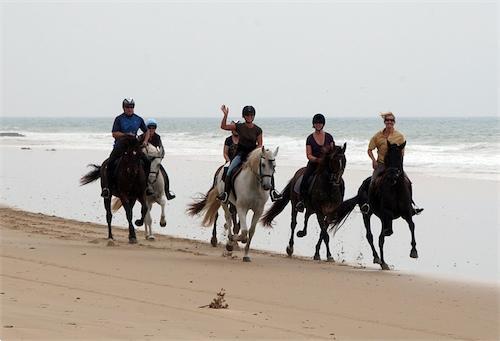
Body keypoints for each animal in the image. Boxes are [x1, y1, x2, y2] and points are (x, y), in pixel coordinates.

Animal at [328, 139, 418, 270]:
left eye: (399, 157)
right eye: (387, 156)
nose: (392, 176)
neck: (396, 188)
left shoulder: (406, 213)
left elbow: (412, 226)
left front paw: (414, 251)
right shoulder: (386, 213)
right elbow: (385, 231)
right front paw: (386, 234)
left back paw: (383, 261)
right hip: (366, 215)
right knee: (370, 236)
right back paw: (378, 259)